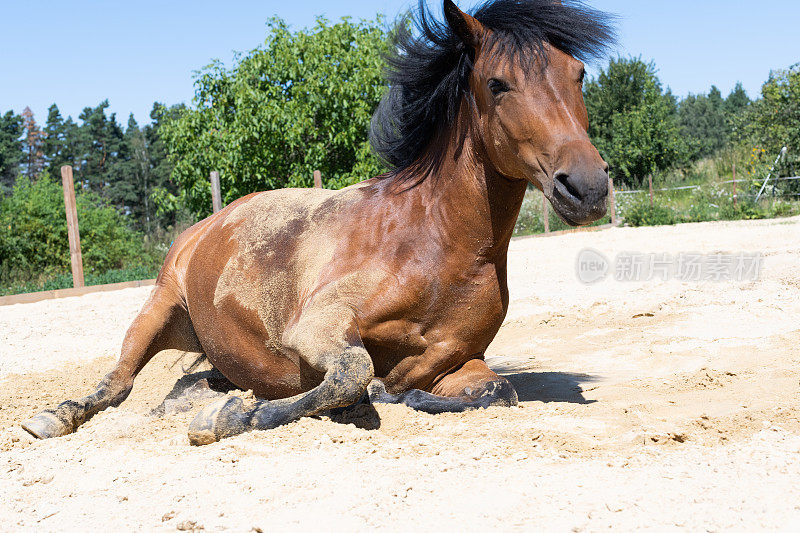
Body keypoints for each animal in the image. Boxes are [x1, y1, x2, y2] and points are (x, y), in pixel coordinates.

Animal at [23, 0, 612, 444]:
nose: (588, 188)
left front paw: (399, 395)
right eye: (497, 84)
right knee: (117, 384)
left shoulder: (458, 361)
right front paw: (234, 417)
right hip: (159, 307)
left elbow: (497, 392)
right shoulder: (319, 326)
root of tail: (210, 225)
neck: (439, 246)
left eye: (579, 73)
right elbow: (353, 373)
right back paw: (56, 417)